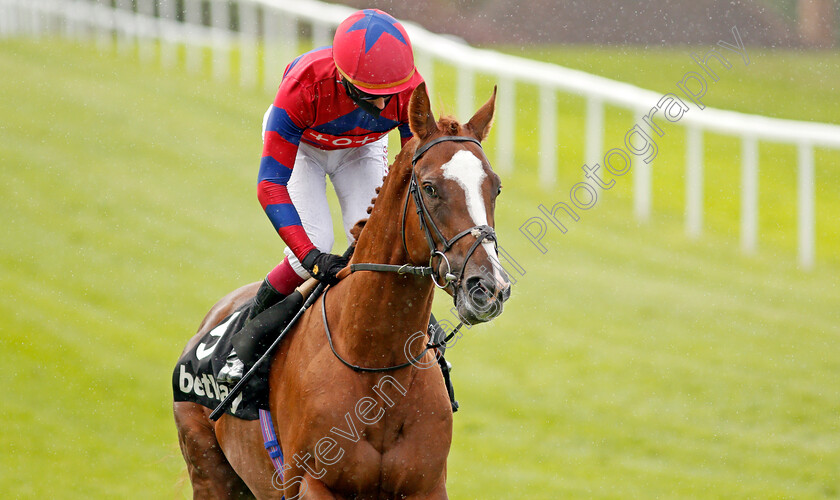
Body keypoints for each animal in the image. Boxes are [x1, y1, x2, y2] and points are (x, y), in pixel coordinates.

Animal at [174, 84, 508, 498]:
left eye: (495, 187)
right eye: (430, 188)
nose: (489, 287)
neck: (376, 365)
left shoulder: (428, 486)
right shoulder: (311, 483)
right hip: (208, 467)